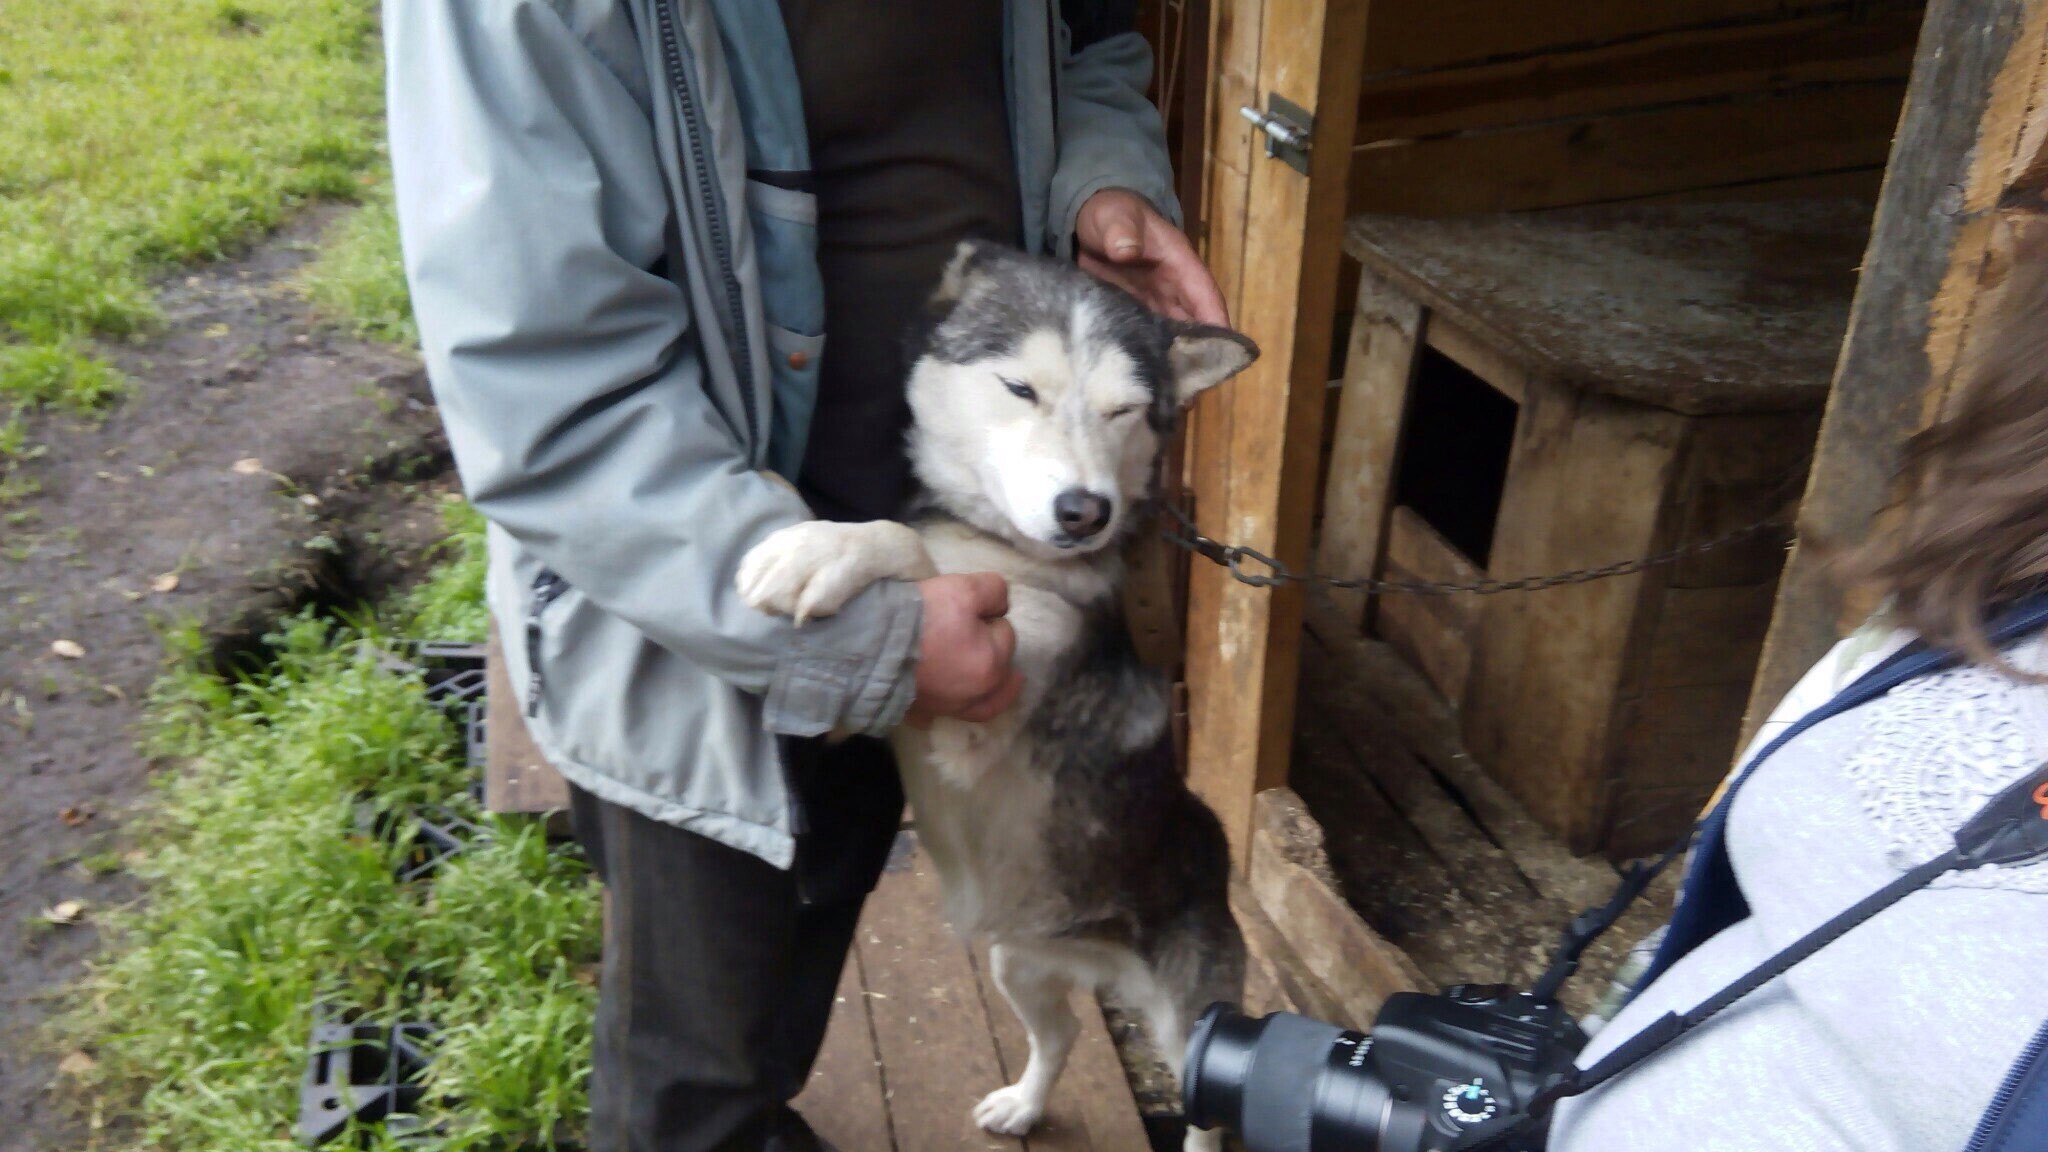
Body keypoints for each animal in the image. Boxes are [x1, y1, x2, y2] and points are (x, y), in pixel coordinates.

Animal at [729, 237, 1253, 1139]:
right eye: (1020, 388)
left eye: (1124, 411)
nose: (1085, 510)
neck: (1001, 548)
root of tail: (1101, 963)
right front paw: (800, 521)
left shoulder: (985, 708)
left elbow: (911, 549)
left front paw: (823, 550)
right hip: (1018, 960)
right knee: (1065, 1031)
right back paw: (1024, 1103)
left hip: (1194, 1025)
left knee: (1208, 1115)